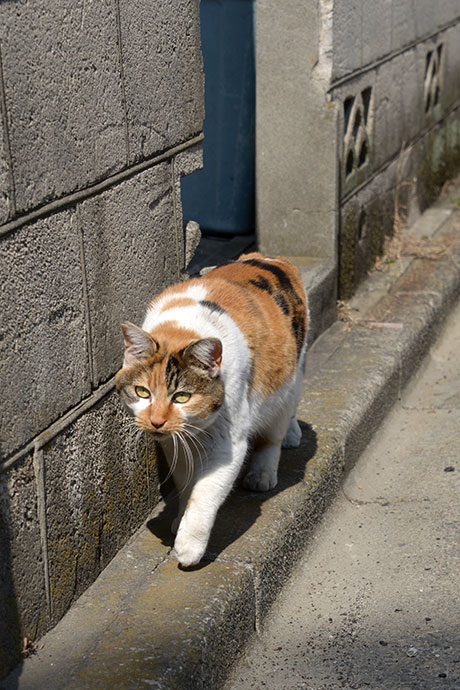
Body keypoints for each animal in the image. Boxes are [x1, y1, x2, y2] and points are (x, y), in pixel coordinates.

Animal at [117, 251, 308, 564]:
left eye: (182, 397)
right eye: (142, 392)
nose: (156, 421)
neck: (182, 328)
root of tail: (268, 257)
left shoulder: (227, 442)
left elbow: (205, 491)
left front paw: (189, 546)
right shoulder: (174, 442)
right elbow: (185, 482)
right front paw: (179, 520)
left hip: (288, 375)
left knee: (275, 428)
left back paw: (265, 470)